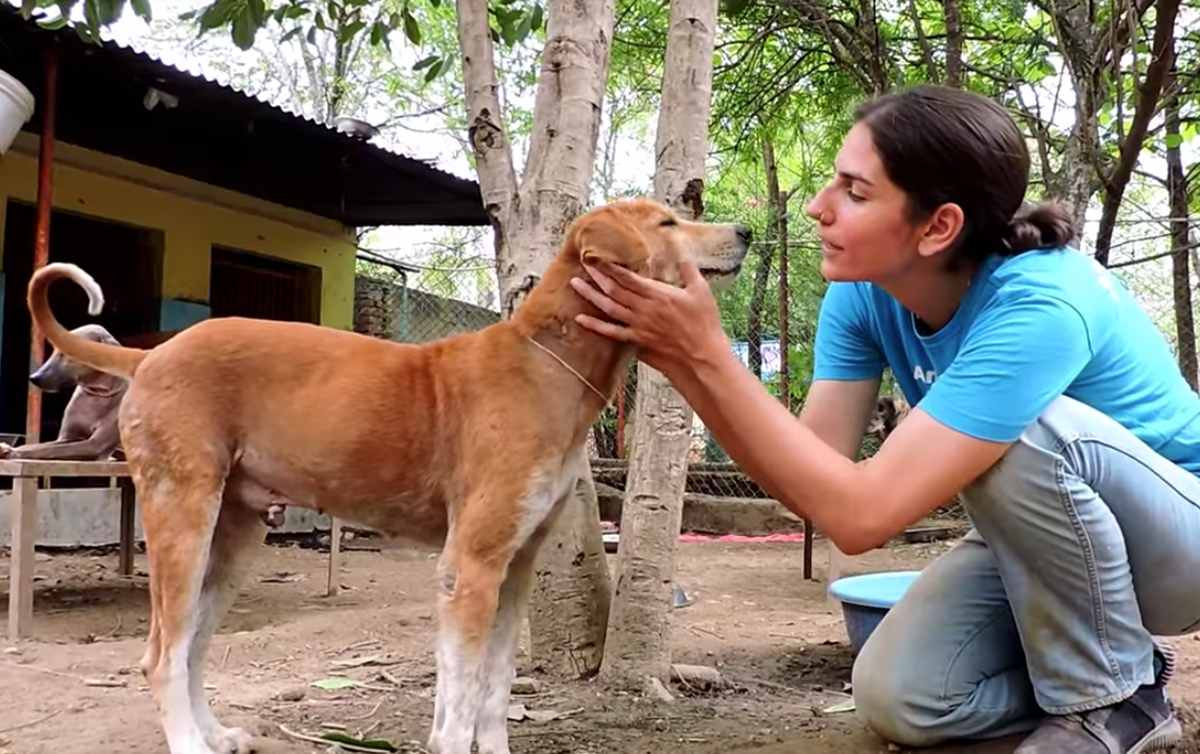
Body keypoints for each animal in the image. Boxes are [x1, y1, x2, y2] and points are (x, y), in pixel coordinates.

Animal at [28, 199, 744, 754]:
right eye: (667, 222)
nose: (745, 231)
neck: (547, 363)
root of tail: (148, 355)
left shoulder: (515, 567)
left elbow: (493, 691)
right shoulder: (470, 566)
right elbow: (459, 702)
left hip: (231, 538)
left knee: (192, 647)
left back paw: (215, 733)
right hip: (183, 517)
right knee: (161, 655)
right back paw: (188, 742)